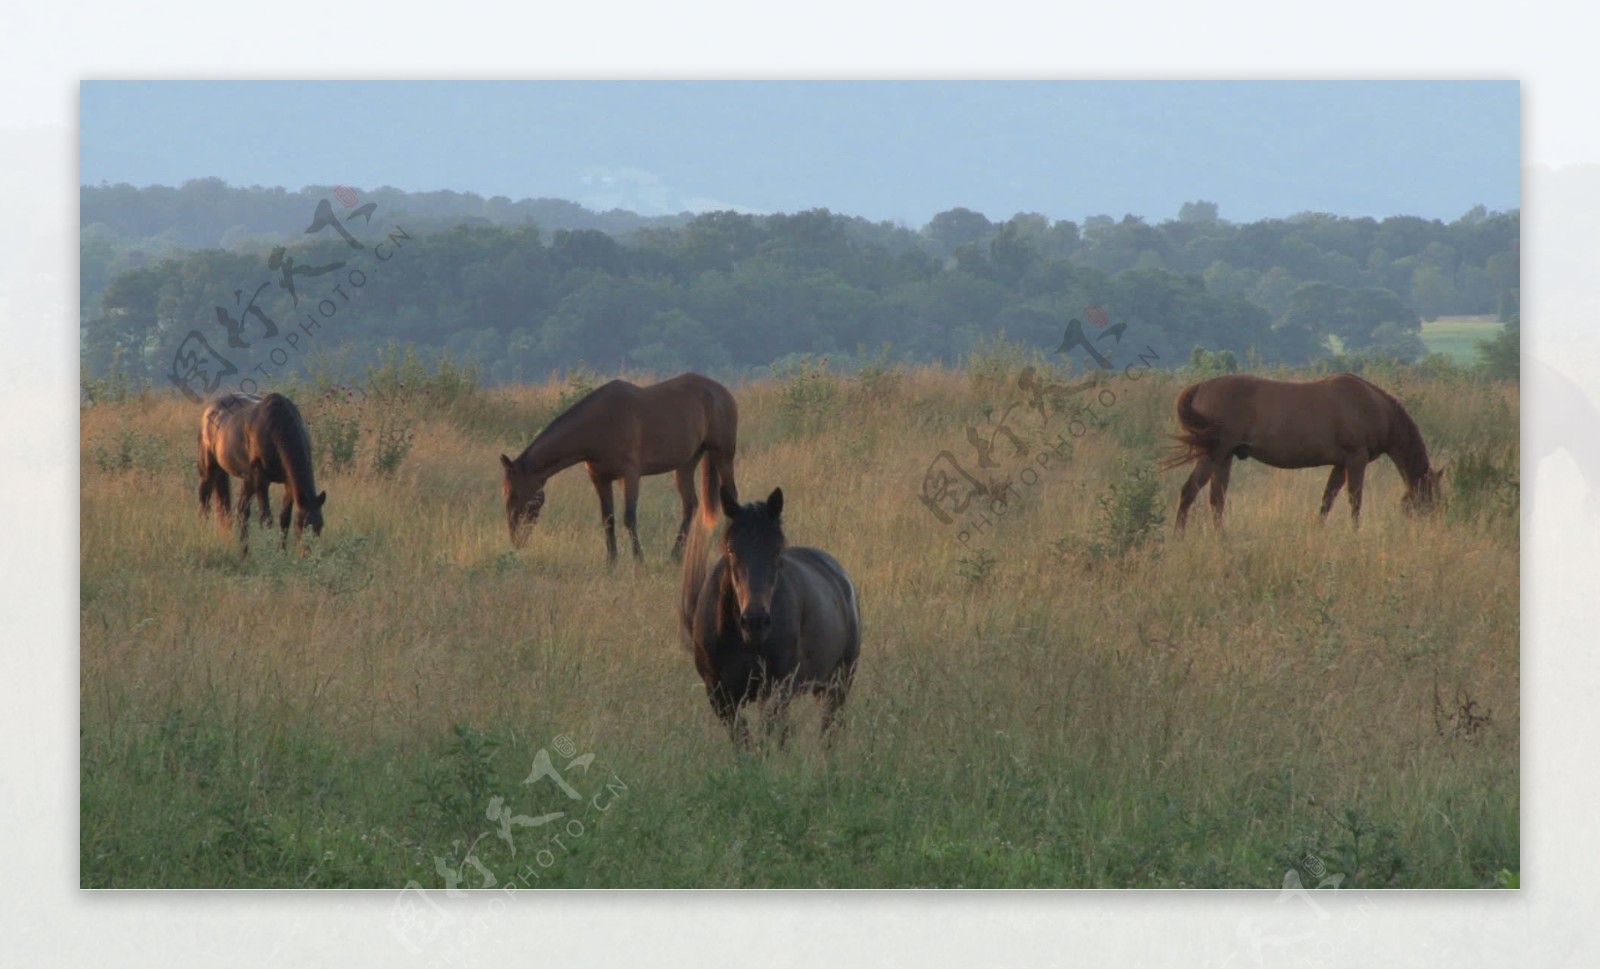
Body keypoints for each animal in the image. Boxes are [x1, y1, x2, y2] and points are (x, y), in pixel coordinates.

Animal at [199, 388, 324, 553]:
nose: (309, 555)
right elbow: (266, 518)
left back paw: (244, 551)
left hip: (247, 480)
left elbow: (284, 518)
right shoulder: (261, 480)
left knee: (241, 512)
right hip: (209, 470)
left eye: (320, 526)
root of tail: (209, 409)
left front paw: (281, 551)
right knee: (204, 505)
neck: (276, 429)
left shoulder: (289, 483)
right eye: (302, 525)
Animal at [496, 374, 739, 569]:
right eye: (506, 494)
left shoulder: (629, 476)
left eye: (514, 495)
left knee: (730, 495)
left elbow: (629, 518)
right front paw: (611, 560)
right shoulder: (600, 479)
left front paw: (639, 560)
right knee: (690, 505)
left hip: (723, 456)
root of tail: (721, 391)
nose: (515, 538)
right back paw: (675, 556)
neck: (601, 423)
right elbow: (608, 519)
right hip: (686, 464)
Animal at [681, 486, 864, 752]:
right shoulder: (720, 695)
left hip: (836, 684)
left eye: (777, 550)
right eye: (730, 549)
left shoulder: (775, 689)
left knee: (827, 733)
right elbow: (744, 742)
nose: (755, 621)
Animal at [1158, 376, 1446, 531]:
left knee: (1216, 499)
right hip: (1213, 454)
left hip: (1224, 458)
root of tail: (1200, 386)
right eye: (1429, 500)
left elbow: (1327, 500)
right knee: (1189, 491)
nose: (1431, 528)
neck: (1373, 406)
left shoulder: (1340, 465)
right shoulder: (1356, 460)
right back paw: (1178, 537)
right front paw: (1355, 533)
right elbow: (1355, 501)